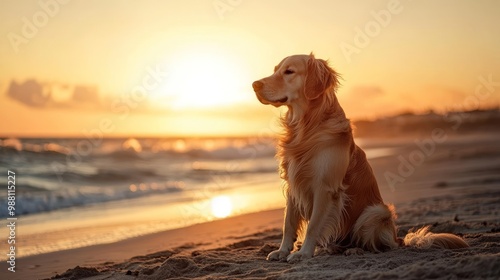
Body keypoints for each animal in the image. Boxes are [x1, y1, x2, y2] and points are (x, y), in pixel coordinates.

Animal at [254, 53, 468, 262]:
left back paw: (355, 250)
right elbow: (288, 223)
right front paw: (282, 251)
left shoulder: (325, 186)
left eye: (289, 71)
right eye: (275, 70)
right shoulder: (293, 183)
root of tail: (399, 239)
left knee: (379, 246)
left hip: (376, 212)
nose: (255, 85)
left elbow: (313, 225)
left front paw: (303, 253)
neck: (306, 127)